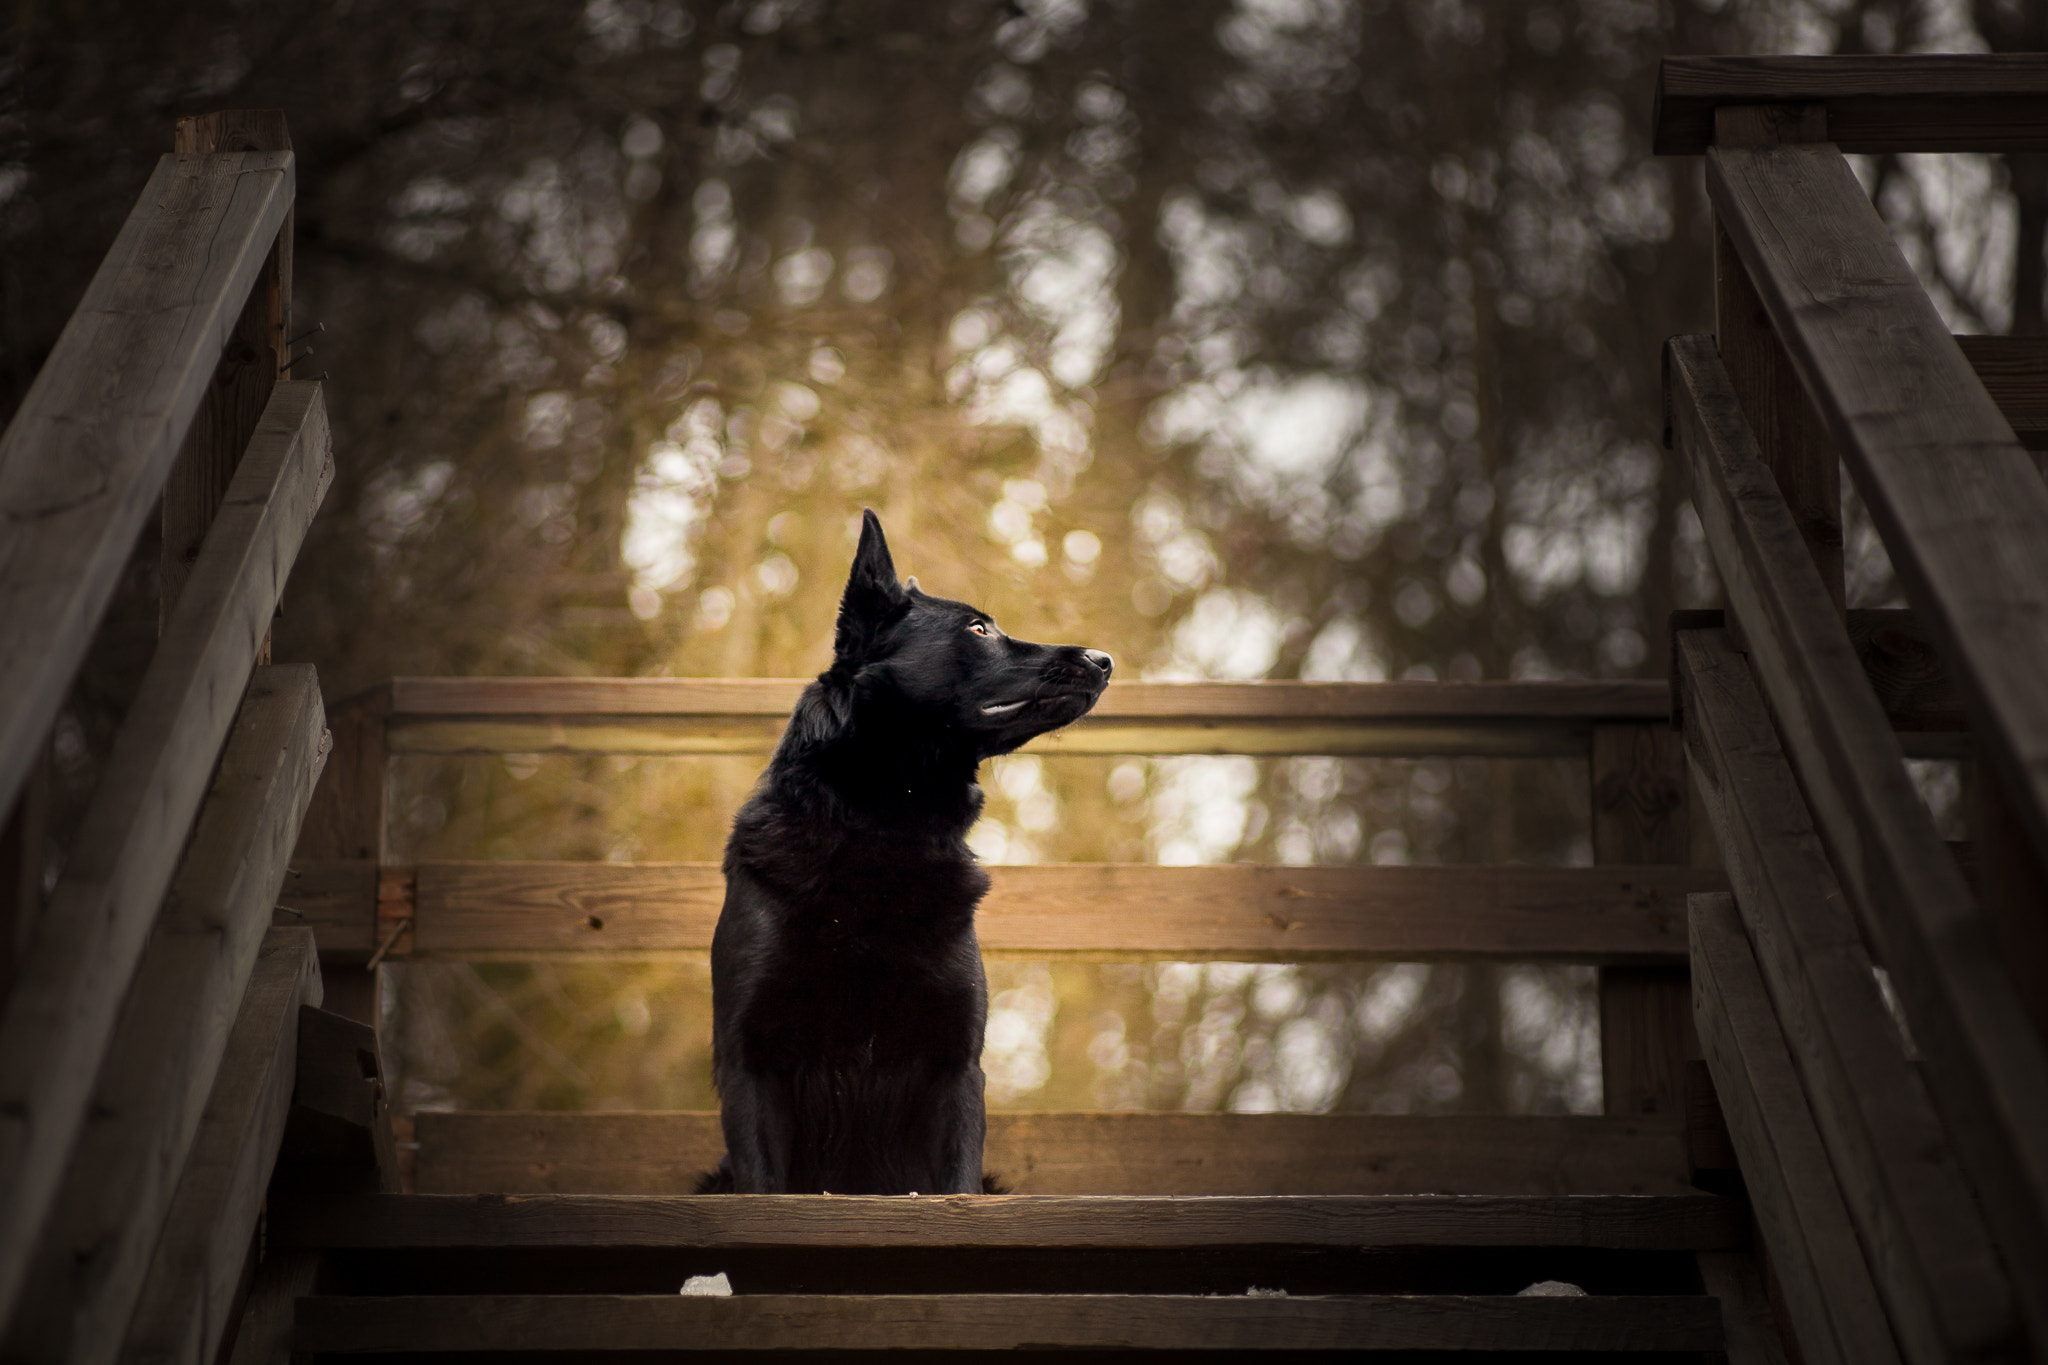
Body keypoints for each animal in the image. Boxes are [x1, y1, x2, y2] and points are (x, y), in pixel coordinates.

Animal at [708, 507, 1122, 1186]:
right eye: (979, 627)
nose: (1105, 658)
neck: (879, 831)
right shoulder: (750, 1063)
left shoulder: (955, 1068)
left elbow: (954, 1186)